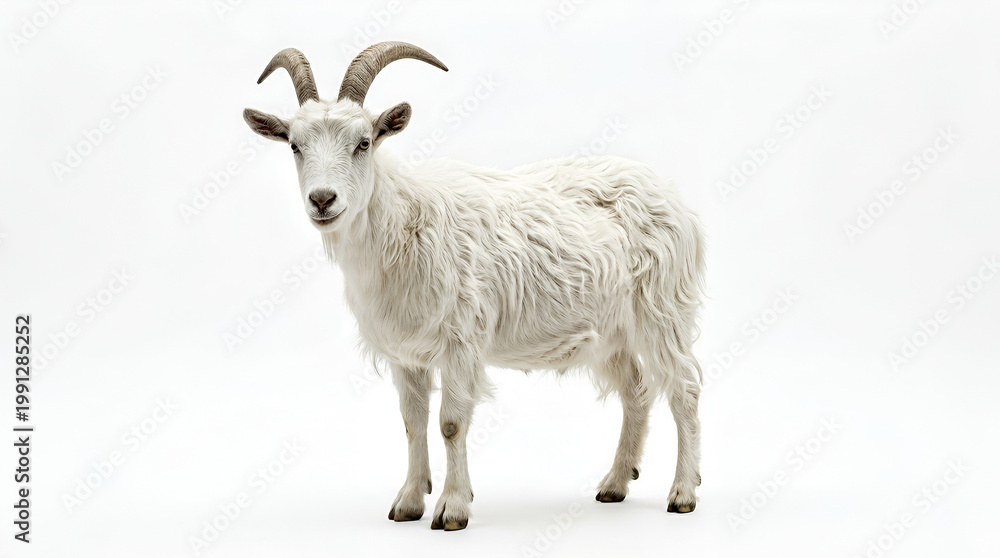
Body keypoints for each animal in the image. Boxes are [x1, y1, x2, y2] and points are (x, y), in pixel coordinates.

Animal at [244, 42, 705, 531]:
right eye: (295, 145)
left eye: (363, 142)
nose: (322, 200)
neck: (403, 227)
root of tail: (674, 197)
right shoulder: (406, 353)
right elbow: (412, 421)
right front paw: (409, 501)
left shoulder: (461, 339)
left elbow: (451, 423)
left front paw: (452, 508)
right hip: (611, 331)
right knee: (636, 389)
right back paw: (615, 483)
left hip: (663, 309)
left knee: (684, 389)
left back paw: (682, 493)